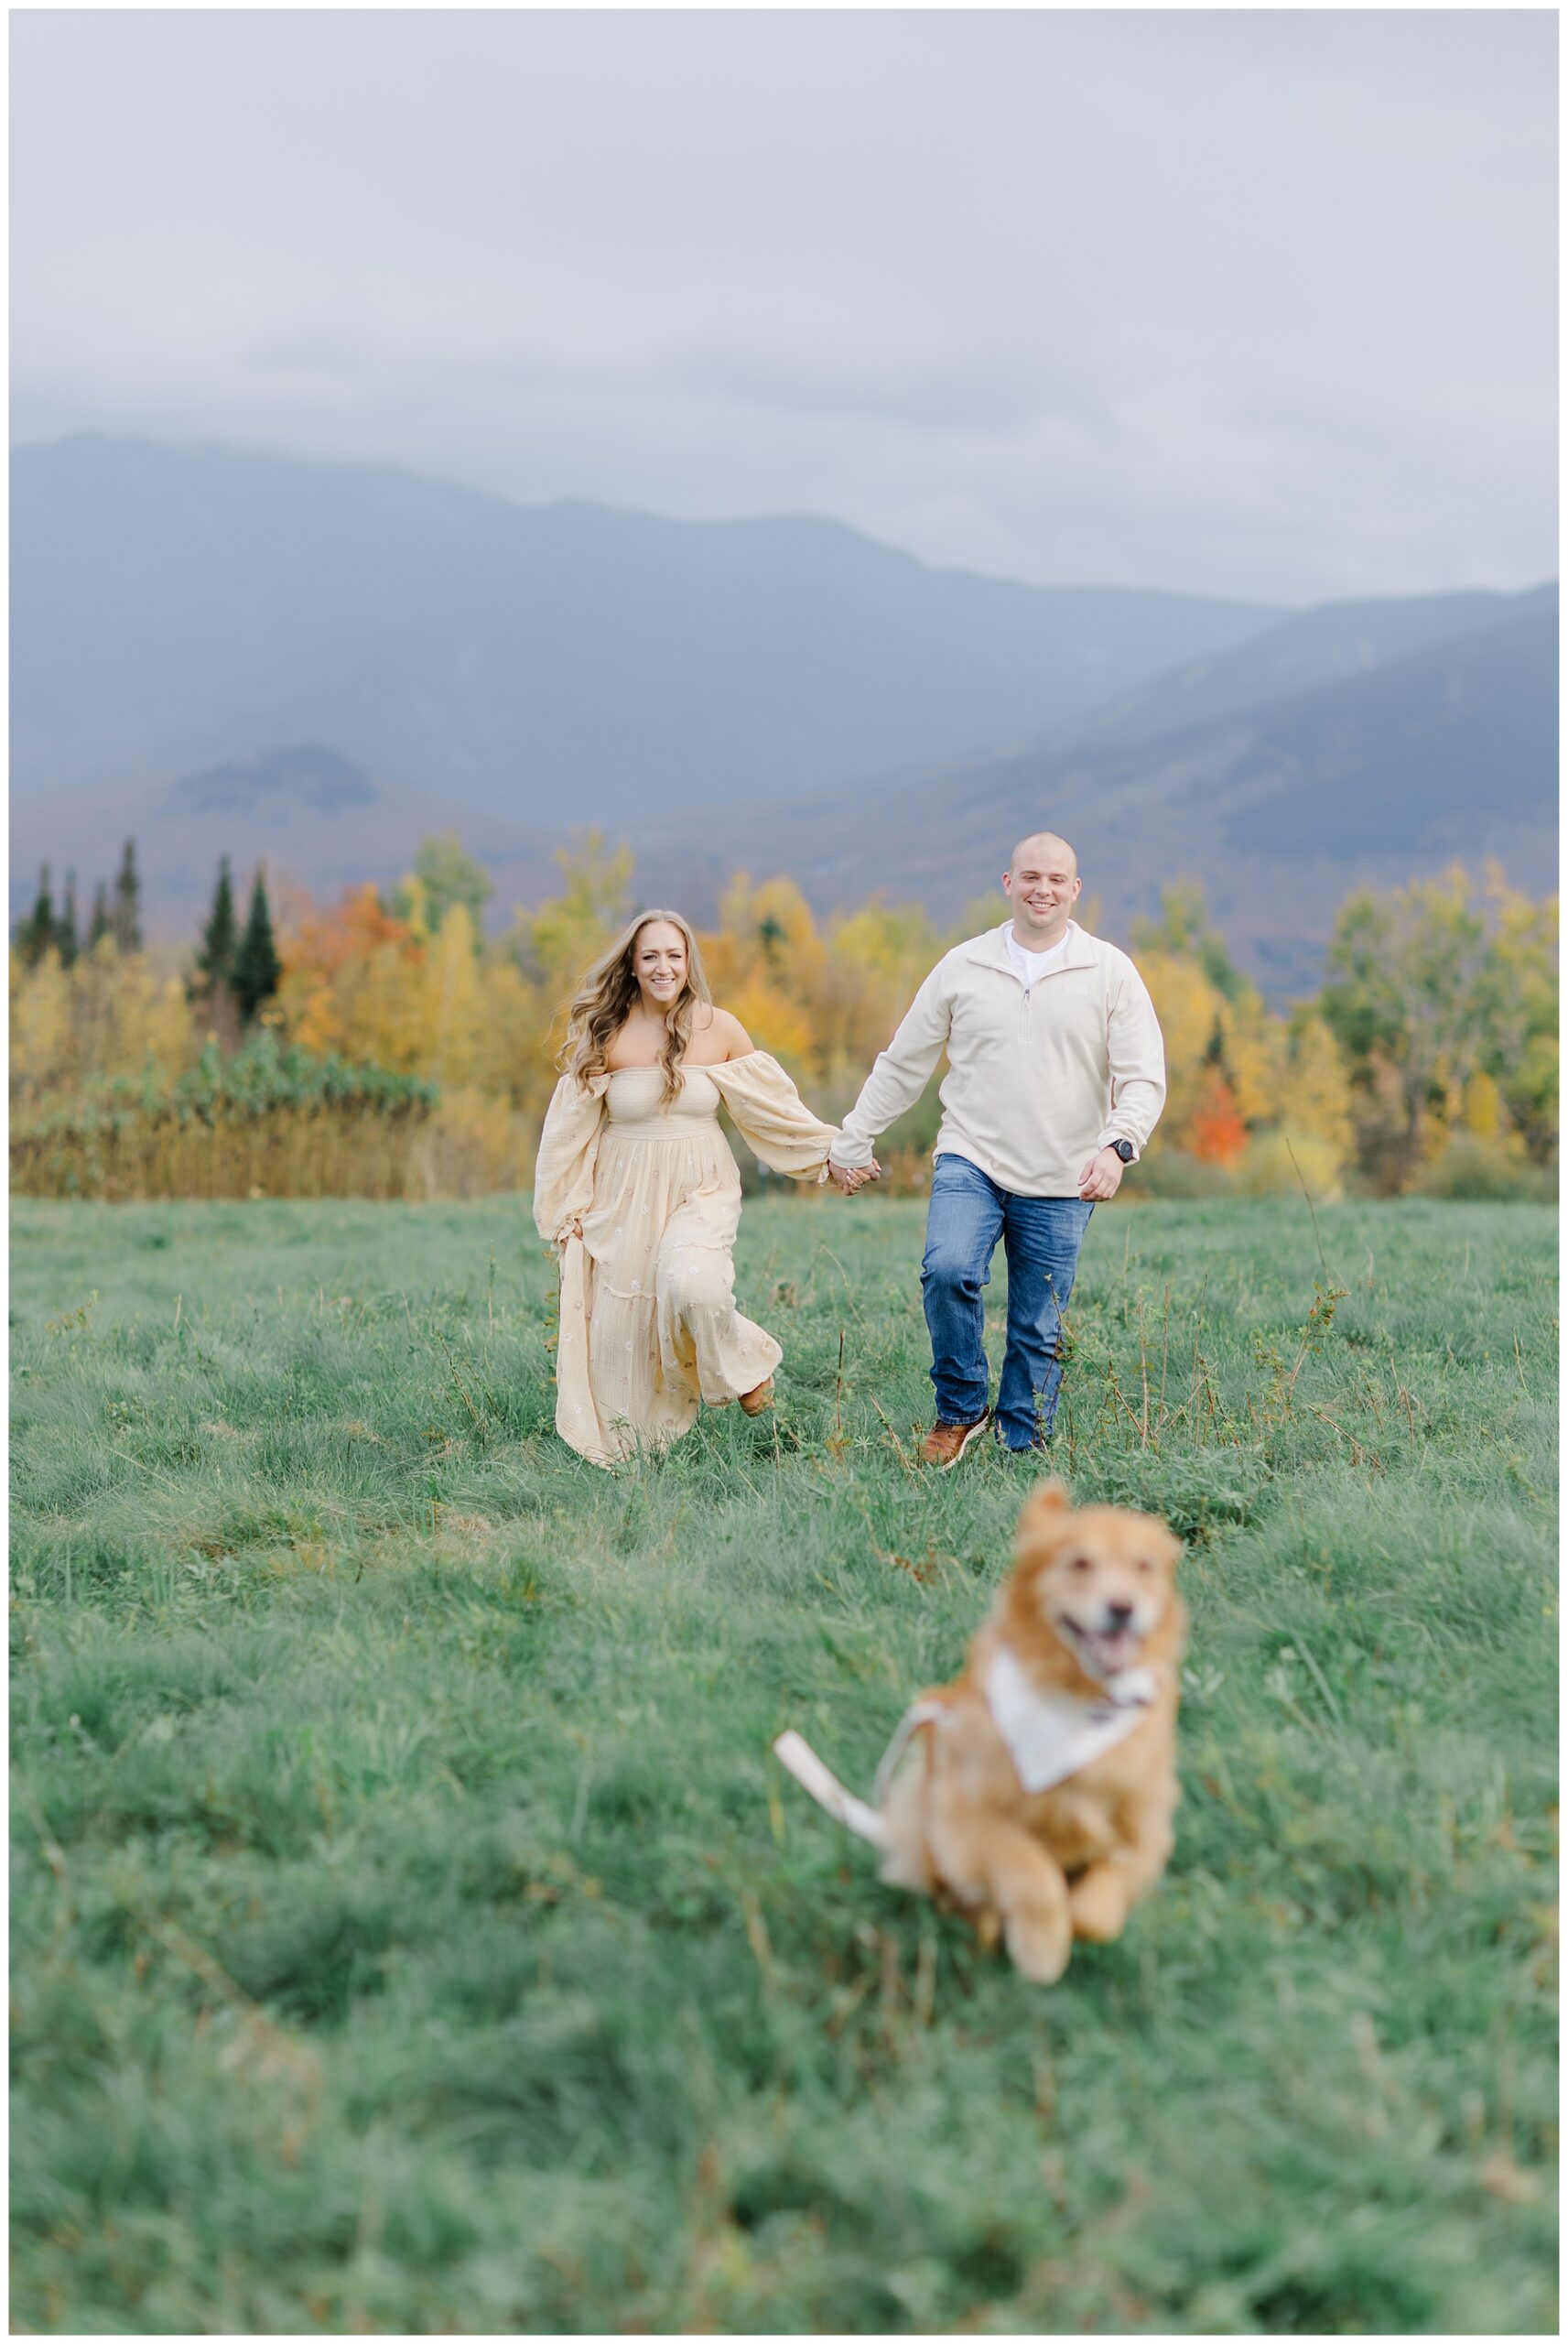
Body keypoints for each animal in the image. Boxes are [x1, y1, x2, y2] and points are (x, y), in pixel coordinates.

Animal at [876, 1481, 1181, 1978]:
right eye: (1079, 1562)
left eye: (1144, 1566)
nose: (1122, 1606)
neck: (1078, 1702)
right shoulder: (967, 1817)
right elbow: (1032, 1875)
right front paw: (1040, 1951)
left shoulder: (1146, 1822)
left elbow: (1104, 1893)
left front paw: (1082, 1919)